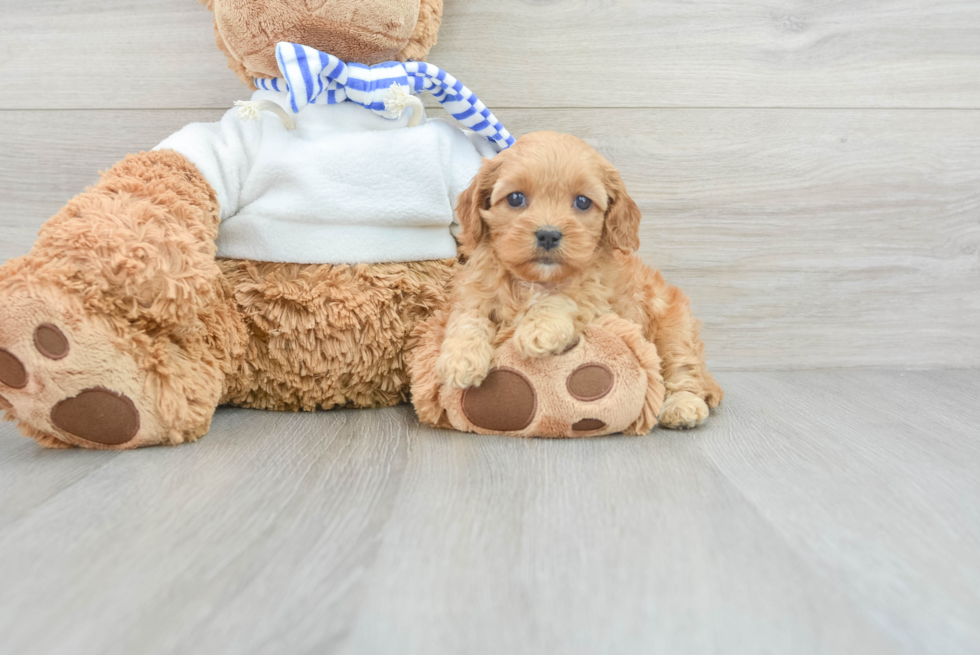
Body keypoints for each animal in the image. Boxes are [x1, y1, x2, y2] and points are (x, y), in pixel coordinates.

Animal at [434, 133, 720, 430]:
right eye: (515, 198)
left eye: (582, 202)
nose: (548, 235)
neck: (537, 280)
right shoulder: (474, 291)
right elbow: (468, 317)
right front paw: (460, 358)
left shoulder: (599, 295)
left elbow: (566, 297)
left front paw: (540, 328)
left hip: (673, 330)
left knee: (683, 371)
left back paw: (683, 406)